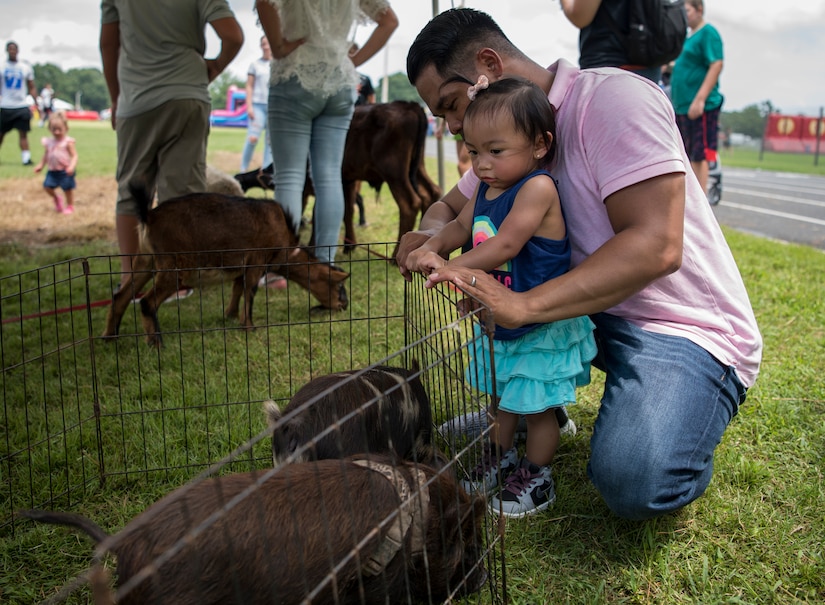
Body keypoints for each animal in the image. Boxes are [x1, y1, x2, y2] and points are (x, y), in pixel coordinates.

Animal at [103, 179, 348, 346]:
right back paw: (155, 343)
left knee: (120, 297)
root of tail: (148, 217)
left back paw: (109, 337)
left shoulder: (242, 266)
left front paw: (229, 315)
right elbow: (250, 291)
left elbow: (237, 288)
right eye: (339, 286)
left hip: (145, 261)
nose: (343, 306)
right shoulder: (256, 261)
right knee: (147, 302)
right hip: (174, 266)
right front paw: (249, 327)